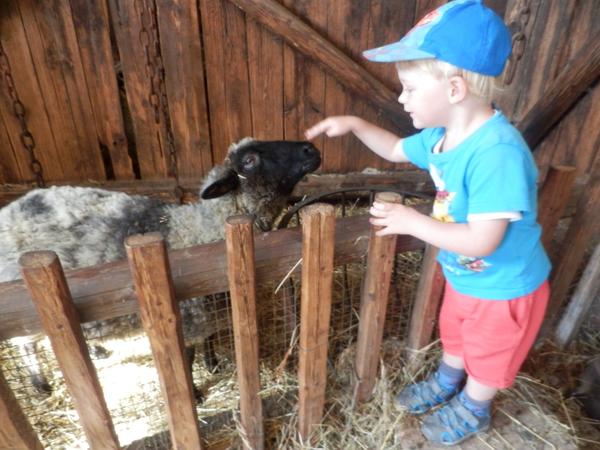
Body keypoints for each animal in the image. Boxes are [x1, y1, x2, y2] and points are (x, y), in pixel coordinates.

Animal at [0, 137, 321, 395]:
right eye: (249, 161)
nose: (311, 148)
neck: (200, 231)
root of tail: (11, 208)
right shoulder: (186, 317)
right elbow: (186, 359)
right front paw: (194, 392)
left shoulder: (209, 311)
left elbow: (209, 339)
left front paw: (213, 363)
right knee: (26, 344)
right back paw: (40, 384)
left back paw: (96, 349)